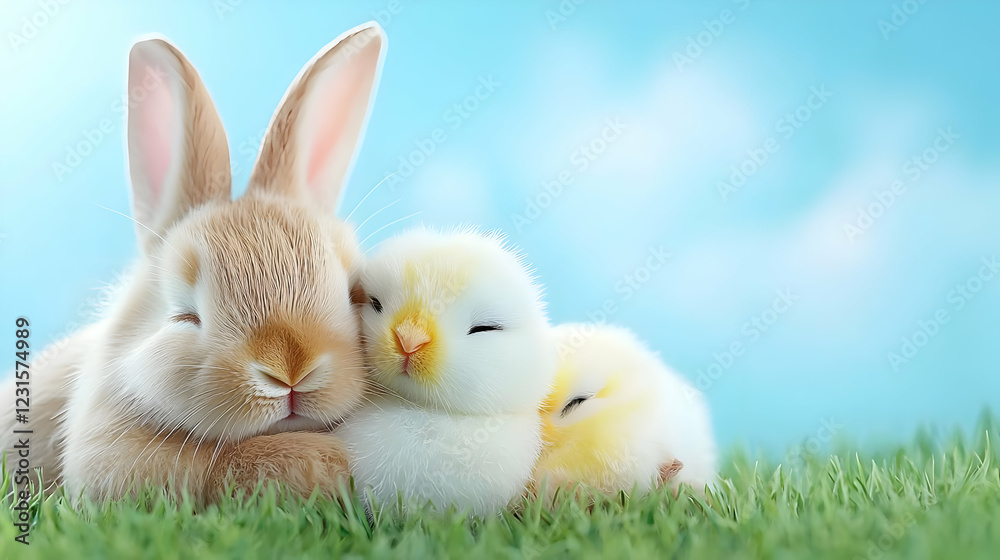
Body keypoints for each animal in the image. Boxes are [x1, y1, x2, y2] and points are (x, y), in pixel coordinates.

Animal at [1, 21, 388, 504]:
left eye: (350, 294)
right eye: (184, 315)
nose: (290, 372)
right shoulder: (109, 452)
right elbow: (216, 464)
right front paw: (322, 462)